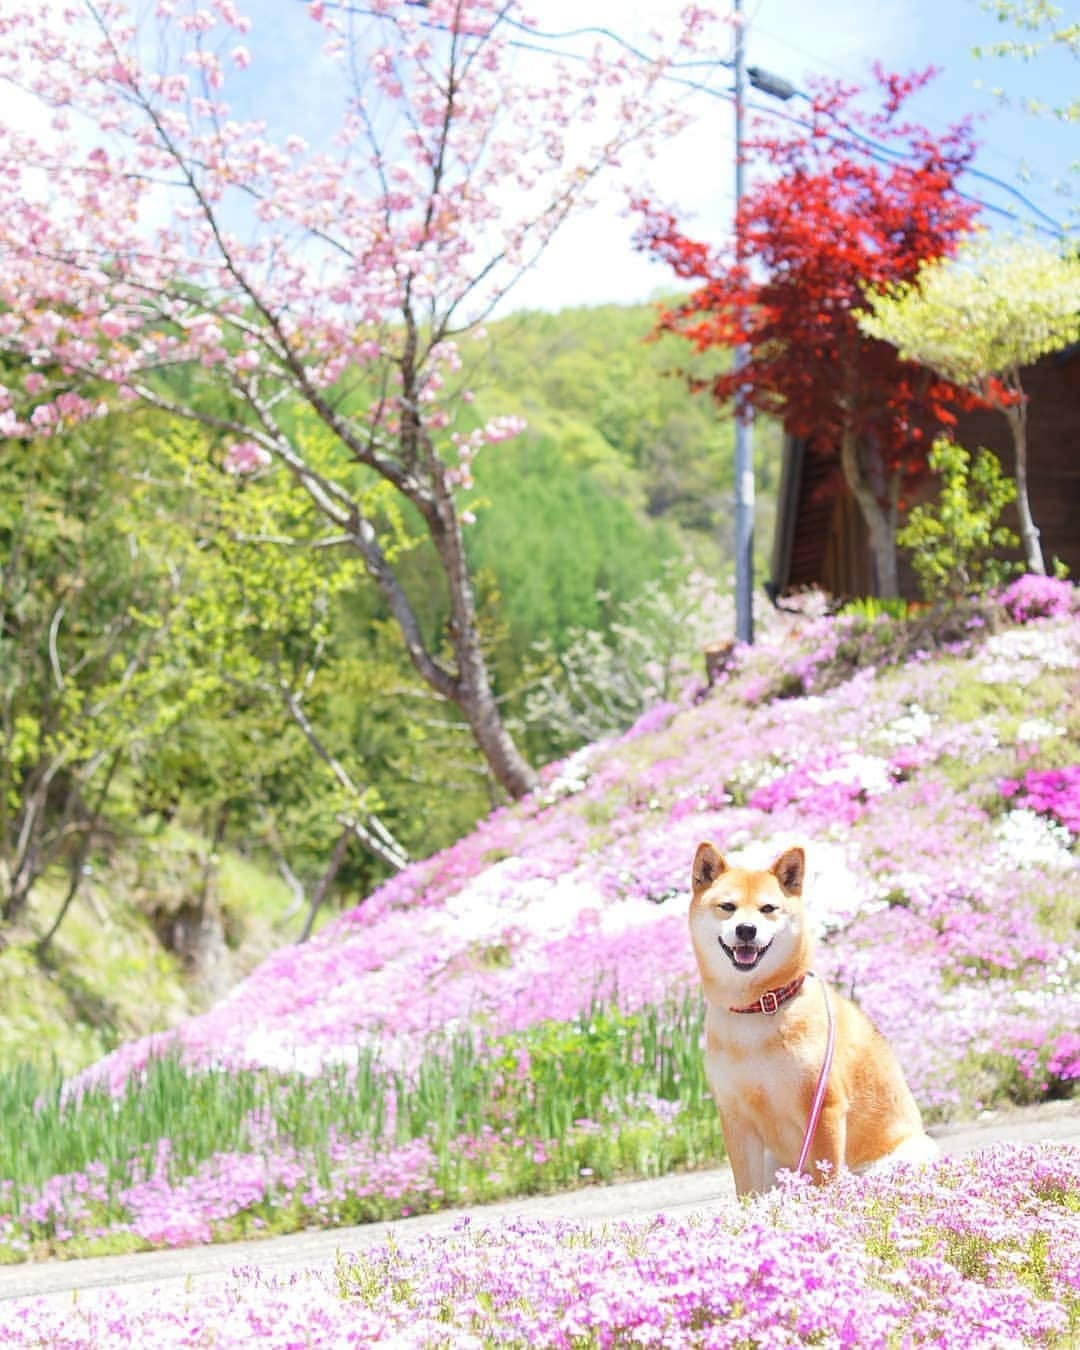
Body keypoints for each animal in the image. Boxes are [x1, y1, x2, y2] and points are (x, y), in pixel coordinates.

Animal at [691, 842, 934, 1193]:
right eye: (727, 906)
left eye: (768, 908)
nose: (746, 929)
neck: (758, 1006)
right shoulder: (735, 1116)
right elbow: (746, 1190)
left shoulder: (822, 1107)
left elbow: (826, 1177)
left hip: (903, 1156)